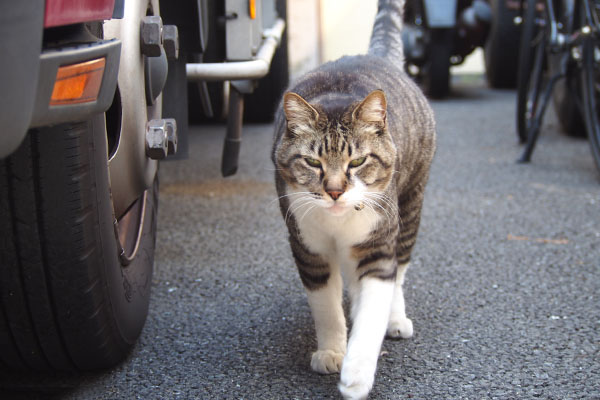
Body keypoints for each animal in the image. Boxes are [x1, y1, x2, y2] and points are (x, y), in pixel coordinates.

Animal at [272, 0, 436, 396]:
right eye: (313, 162)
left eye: (358, 161)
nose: (334, 190)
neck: (338, 222)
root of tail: (377, 55)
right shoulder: (308, 248)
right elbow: (327, 308)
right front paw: (332, 352)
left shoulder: (376, 247)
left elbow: (373, 308)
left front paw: (357, 374)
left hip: (410, 207)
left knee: (399, 272)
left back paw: (395, 318)